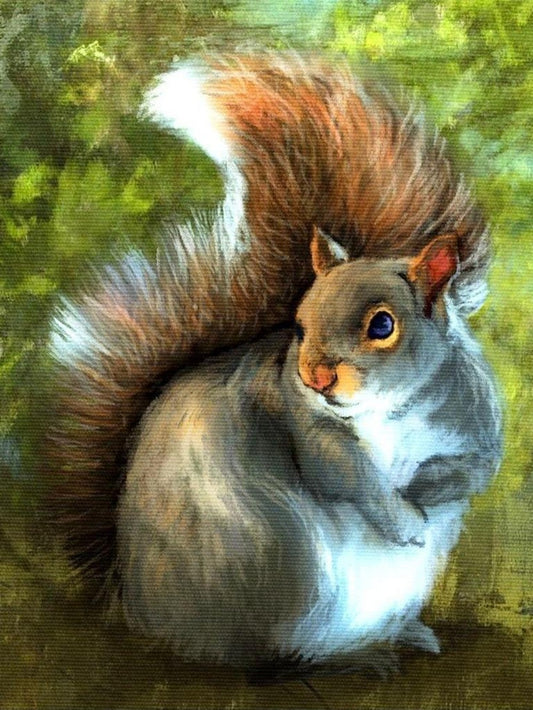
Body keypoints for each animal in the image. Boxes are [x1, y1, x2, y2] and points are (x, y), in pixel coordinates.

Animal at [45, 53, 501, 679]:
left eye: (382, 325)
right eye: (300, 325)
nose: (315, 377)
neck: (387, 412)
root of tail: (139, 609)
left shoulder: (473, 419)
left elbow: (472, 469)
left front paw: (424, 496)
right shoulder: (304, 420)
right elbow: (341, 472)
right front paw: (404, 516)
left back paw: (403, 634)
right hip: (278, 567)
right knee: (268, 657)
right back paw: (354, 657)